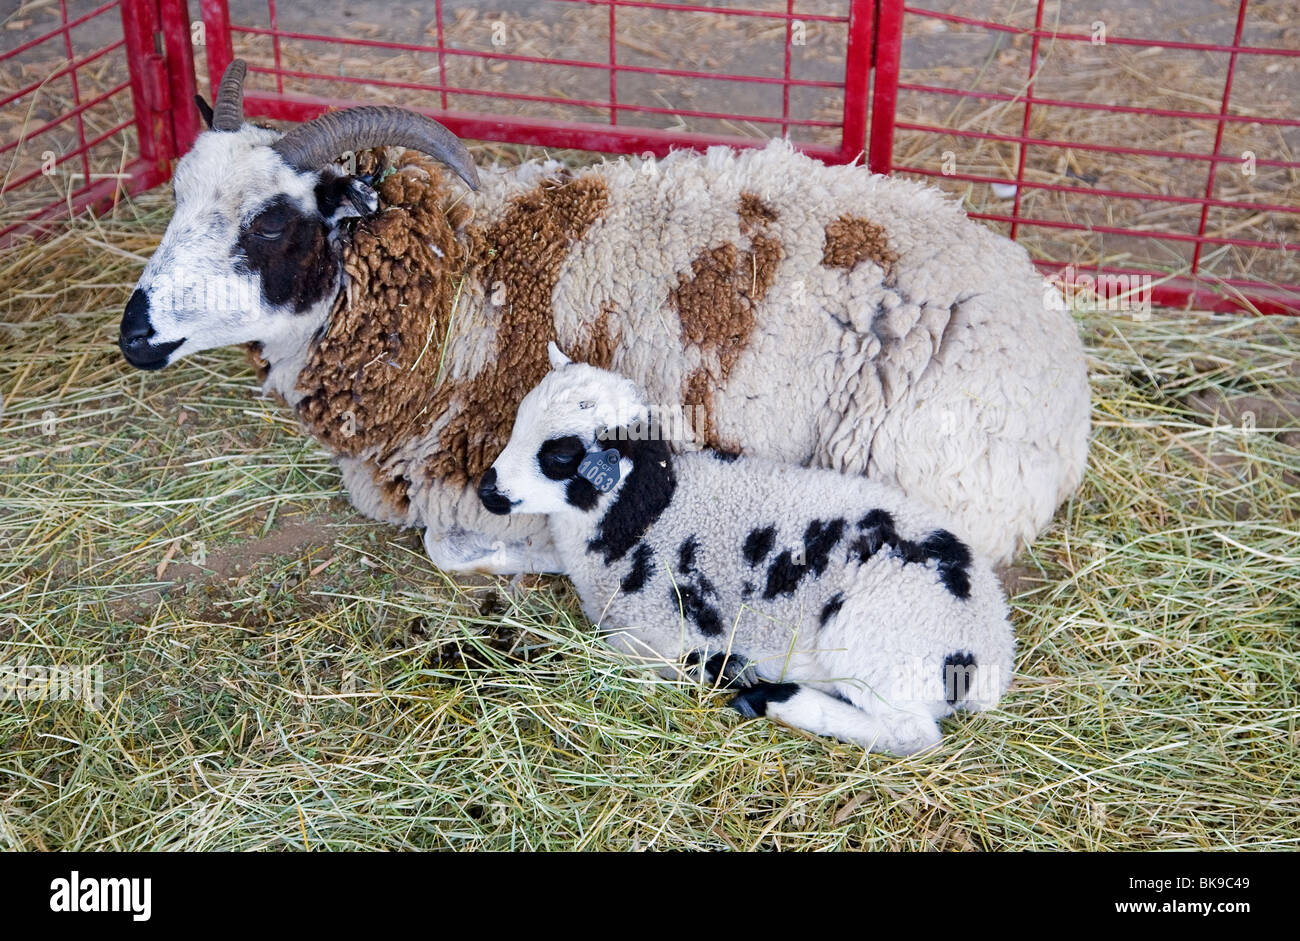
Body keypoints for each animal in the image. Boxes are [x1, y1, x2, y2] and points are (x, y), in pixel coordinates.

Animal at [122, 60, 1092, 574]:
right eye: (176, 196)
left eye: (268, 223)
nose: (134, 333)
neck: (456, 282)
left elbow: (451, 542)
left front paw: (541, 554)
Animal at [480, 343, 1013, 753]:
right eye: (517, 421)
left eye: (560, 455)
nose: (487, 491)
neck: (648, 516)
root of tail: (993, 651)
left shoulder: (656, 633)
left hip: (878, 640)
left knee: (910, 735)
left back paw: (776, 699)